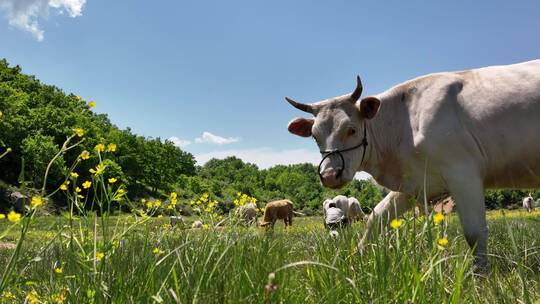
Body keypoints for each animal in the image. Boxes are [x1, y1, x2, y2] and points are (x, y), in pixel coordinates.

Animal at [286, 58, 540, 268]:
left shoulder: (463, 173)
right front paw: (356, 260)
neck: (404, 122)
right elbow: (376, 218)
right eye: (315, 136)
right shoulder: (415, 183)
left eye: (352, 129)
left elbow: (475, 234)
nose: (329, 175)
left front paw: (480, 279)